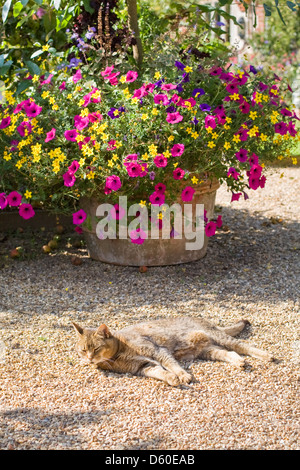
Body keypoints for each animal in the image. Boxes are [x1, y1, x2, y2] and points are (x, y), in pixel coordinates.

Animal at [72, 316, 274, 386]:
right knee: (230, 353)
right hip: (209, 350)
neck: (118, 353)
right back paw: (240, 362)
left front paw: (183, 375)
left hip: (219, 338)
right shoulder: (142, 366)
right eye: (82, 350)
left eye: (96, 348)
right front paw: (172, 379)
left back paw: (266, 355)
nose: (89, 359)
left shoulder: (158, 351)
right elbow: (161, 372)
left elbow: (172, 365)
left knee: (242, 346)